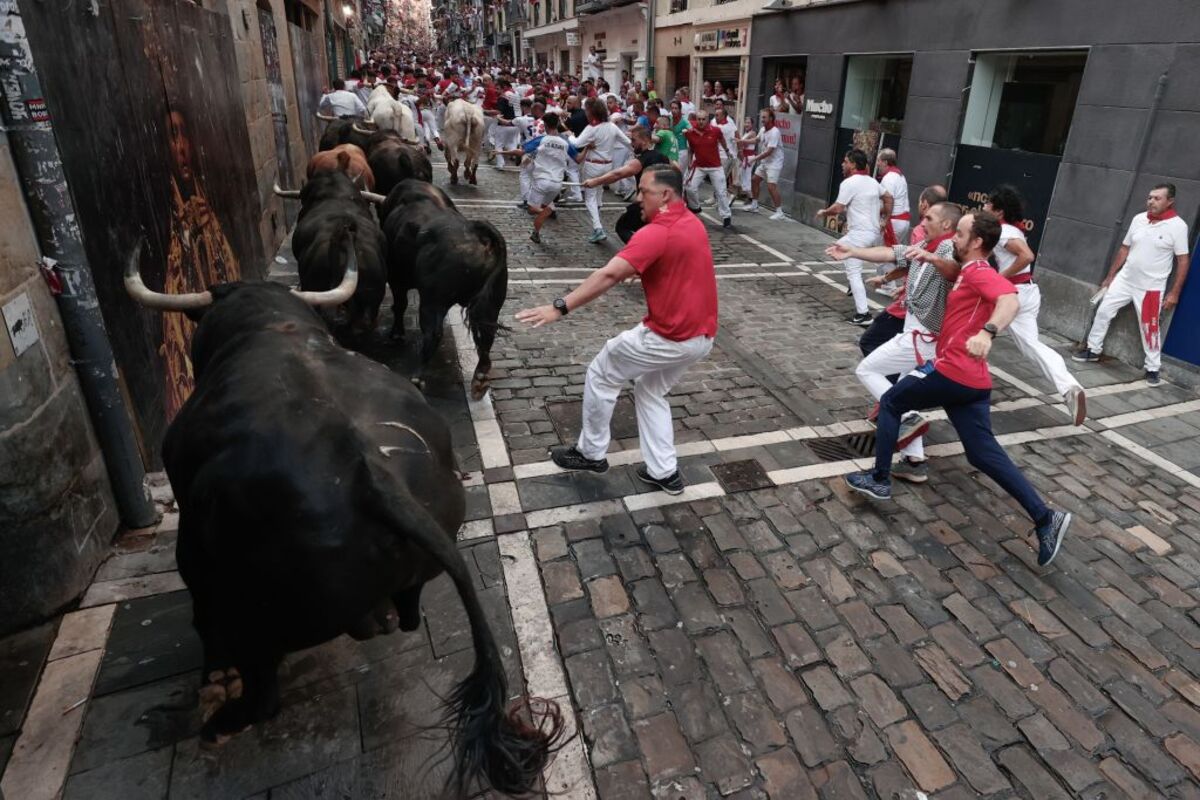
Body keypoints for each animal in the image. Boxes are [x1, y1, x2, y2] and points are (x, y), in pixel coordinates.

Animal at [129, 251, 559, 796]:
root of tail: (369, 473)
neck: (270, 325)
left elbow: (203, 618)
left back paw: (221, 722)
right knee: (409, 611)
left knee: (259, 687)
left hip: (256, 611)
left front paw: (215, 679)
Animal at [379, 178, 501, 398]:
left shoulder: (396, 279)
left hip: (432, 300)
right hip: (492, 303)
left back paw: (417, 378)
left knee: (433, 333)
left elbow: (399, 305)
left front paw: (397, 333)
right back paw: (480, 377)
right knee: (487, 334)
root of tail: (477, 234)